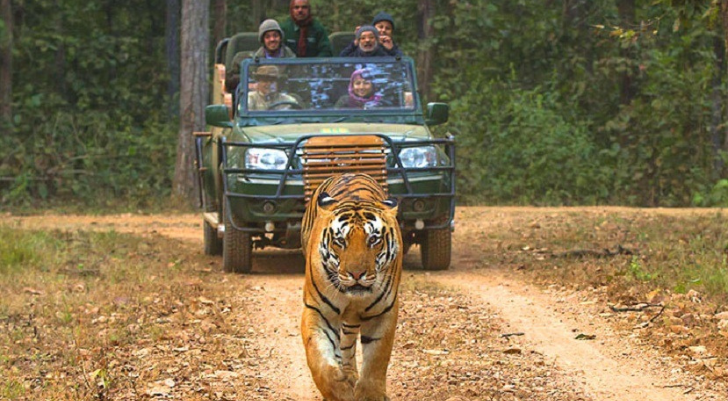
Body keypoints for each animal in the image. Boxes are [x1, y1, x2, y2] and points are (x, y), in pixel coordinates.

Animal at [300, 173, 403, 401]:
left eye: (373, 239)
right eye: (340, 240)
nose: (356, 274)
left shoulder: (383, 313)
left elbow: (376, 360)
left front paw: (370, 394)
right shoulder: (318, 311)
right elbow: (319, 359)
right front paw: (340, 391)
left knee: (347, 344)